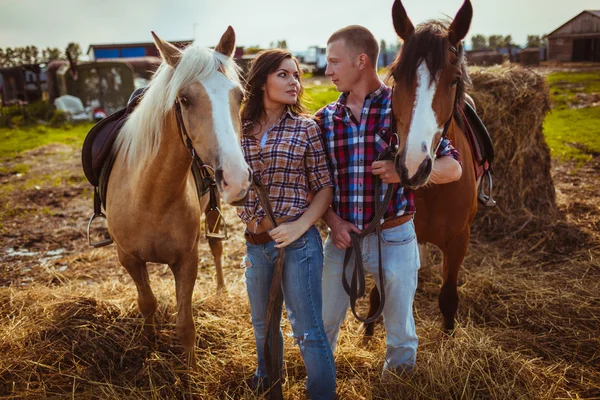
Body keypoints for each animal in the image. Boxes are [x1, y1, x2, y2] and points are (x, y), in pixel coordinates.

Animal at [106, 28, 250, 368]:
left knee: (216, 248)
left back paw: (221, 290)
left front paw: (190, 370)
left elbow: (185, 325)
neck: (150, 197)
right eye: (184, 99)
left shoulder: (187, 260)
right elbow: (147, 302)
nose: (237, 177)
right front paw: (148, 343)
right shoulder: (128, 258)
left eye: (239, 96)